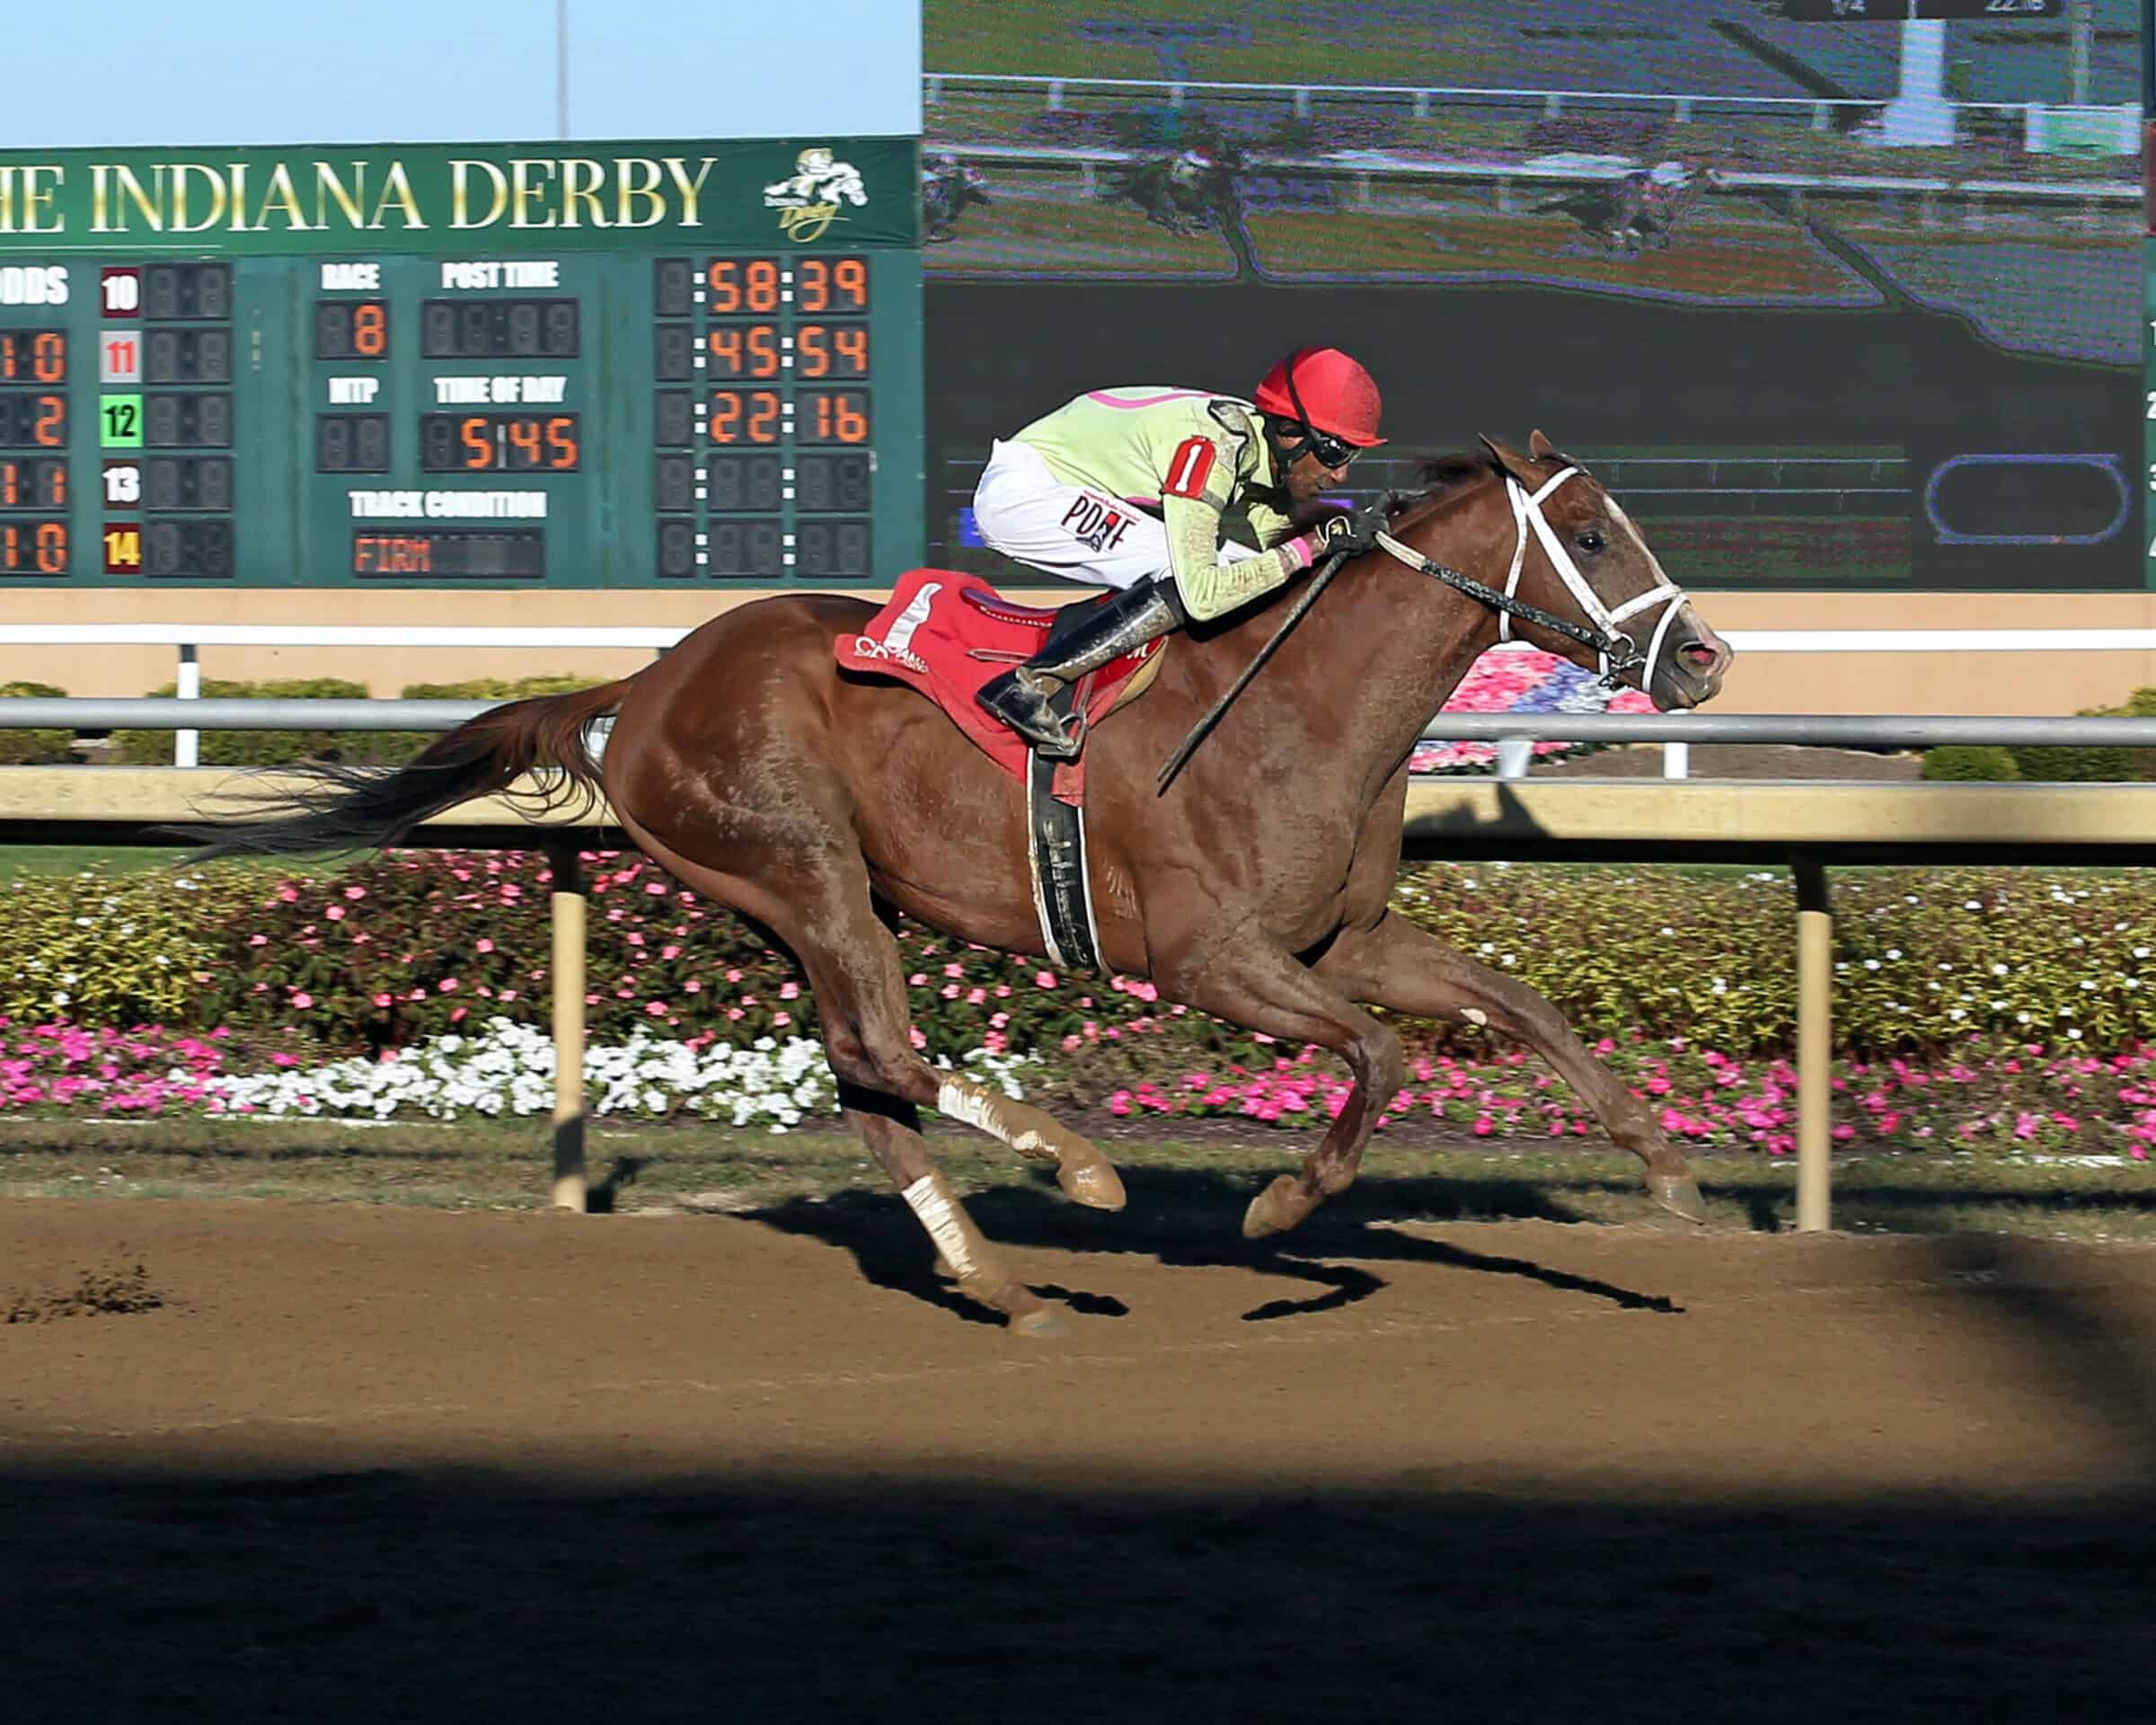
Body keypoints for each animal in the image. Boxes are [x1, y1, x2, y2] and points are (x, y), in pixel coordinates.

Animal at [193, 433, 1732, 1336]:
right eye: (1596, 535)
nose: (1705, 660)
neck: (1298, 704)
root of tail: (642, 683)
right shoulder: (1213, 959)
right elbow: (1387, 1056)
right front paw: (1280, 1209)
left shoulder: (1337, 940)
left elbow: (1514, 1006)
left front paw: (1665, 1171)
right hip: (801, 866)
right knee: (885, 1052)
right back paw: (1076, 1167)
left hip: (801, 901)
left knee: (866, 1083)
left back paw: (995, 1279)